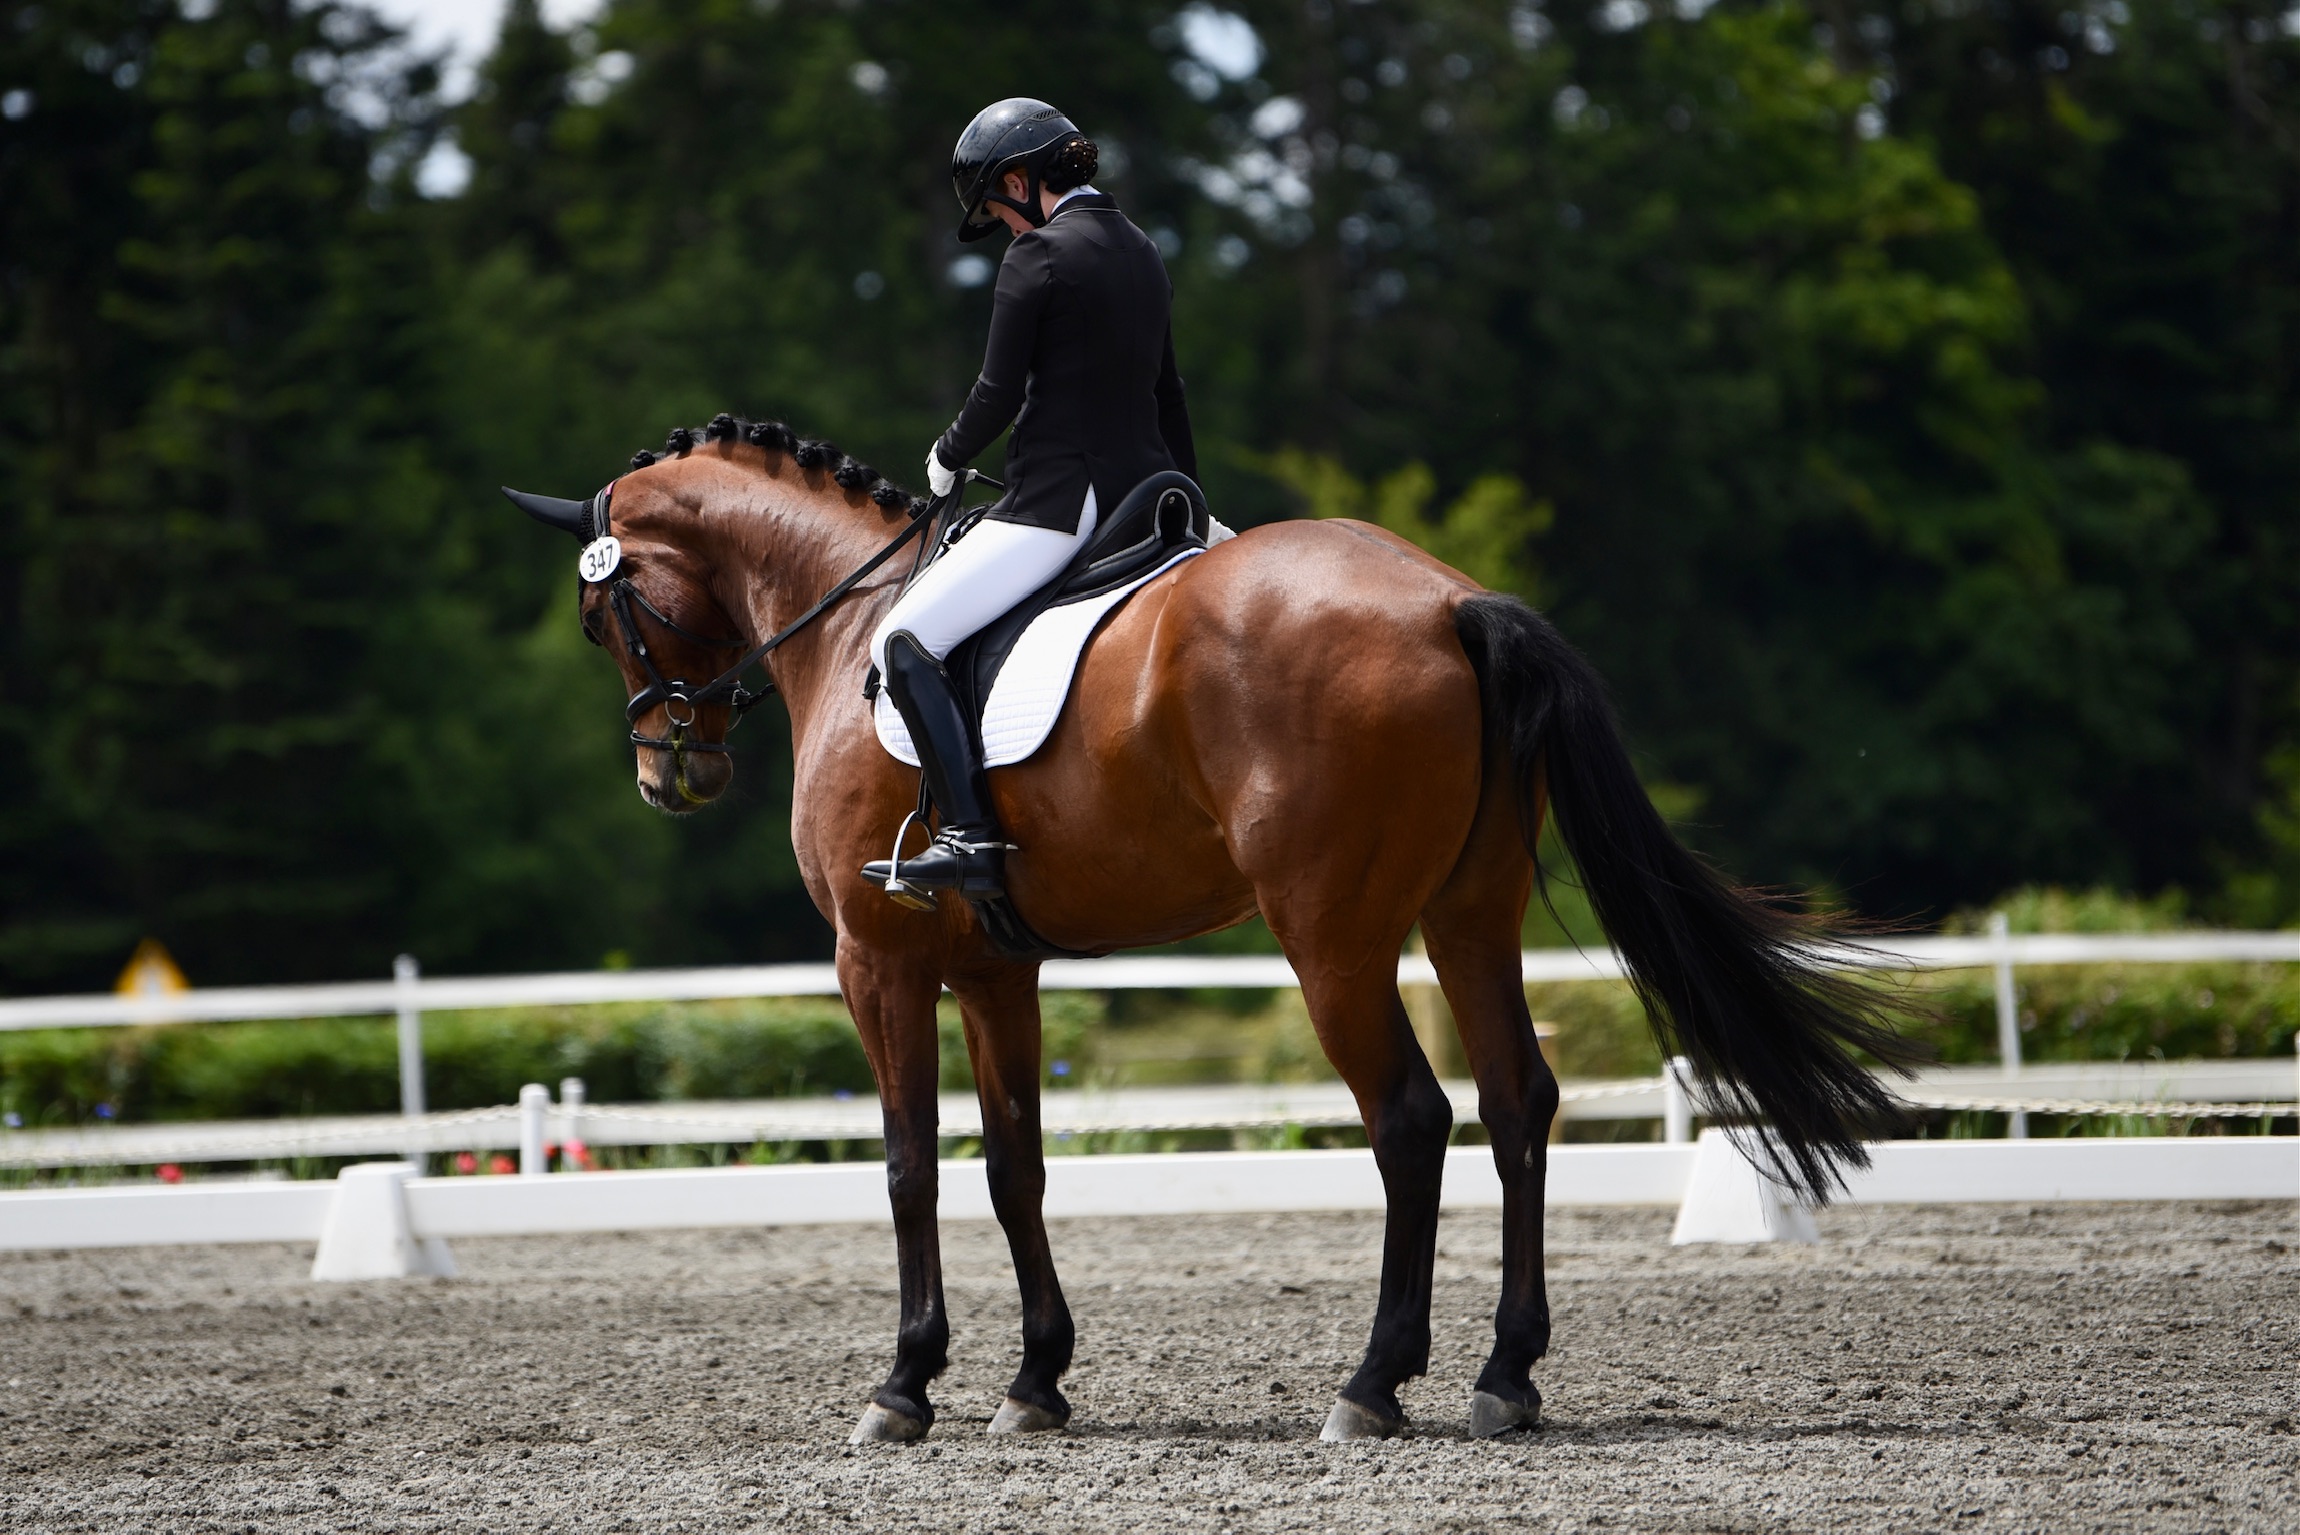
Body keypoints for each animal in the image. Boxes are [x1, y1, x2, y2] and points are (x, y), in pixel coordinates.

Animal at [505, 413, 1908, 1445]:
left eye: (601, 613)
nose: (669, 773)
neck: (848, 619)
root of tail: (1448, 602)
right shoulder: (994, 969)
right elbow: (1013, 1165)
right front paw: (1035, 1383)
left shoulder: (877, 957)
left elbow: (907, 1165)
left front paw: (902, 1387)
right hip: (1468, 912)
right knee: (1518, 1101)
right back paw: (1503, 1376)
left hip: (1330, 933)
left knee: (1411, 1116)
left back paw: (1370, 1385)